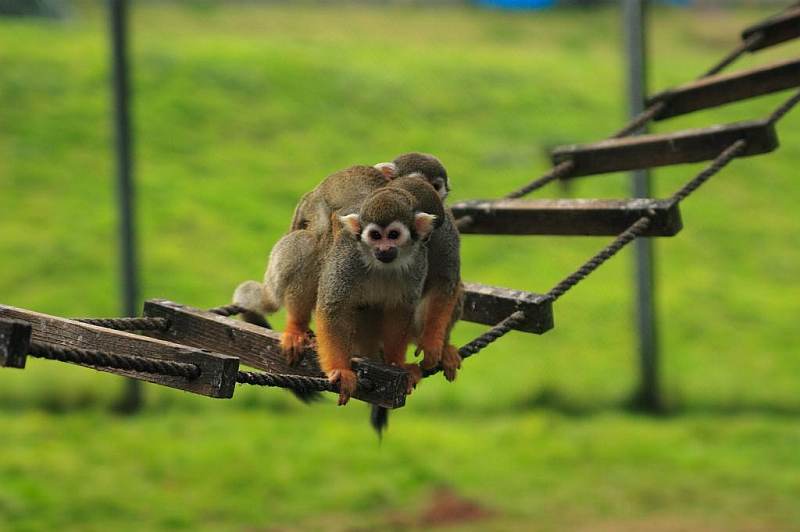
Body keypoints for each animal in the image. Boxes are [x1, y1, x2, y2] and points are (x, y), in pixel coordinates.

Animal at [231, 152, 462, 406]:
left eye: (436, 186)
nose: (426, 236)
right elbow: (334, 302)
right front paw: (341, 371)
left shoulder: (441, 232)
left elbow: (441, 284)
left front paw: (424, 349)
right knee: (310, 242)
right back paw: (297, 327)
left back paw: (442, 348)